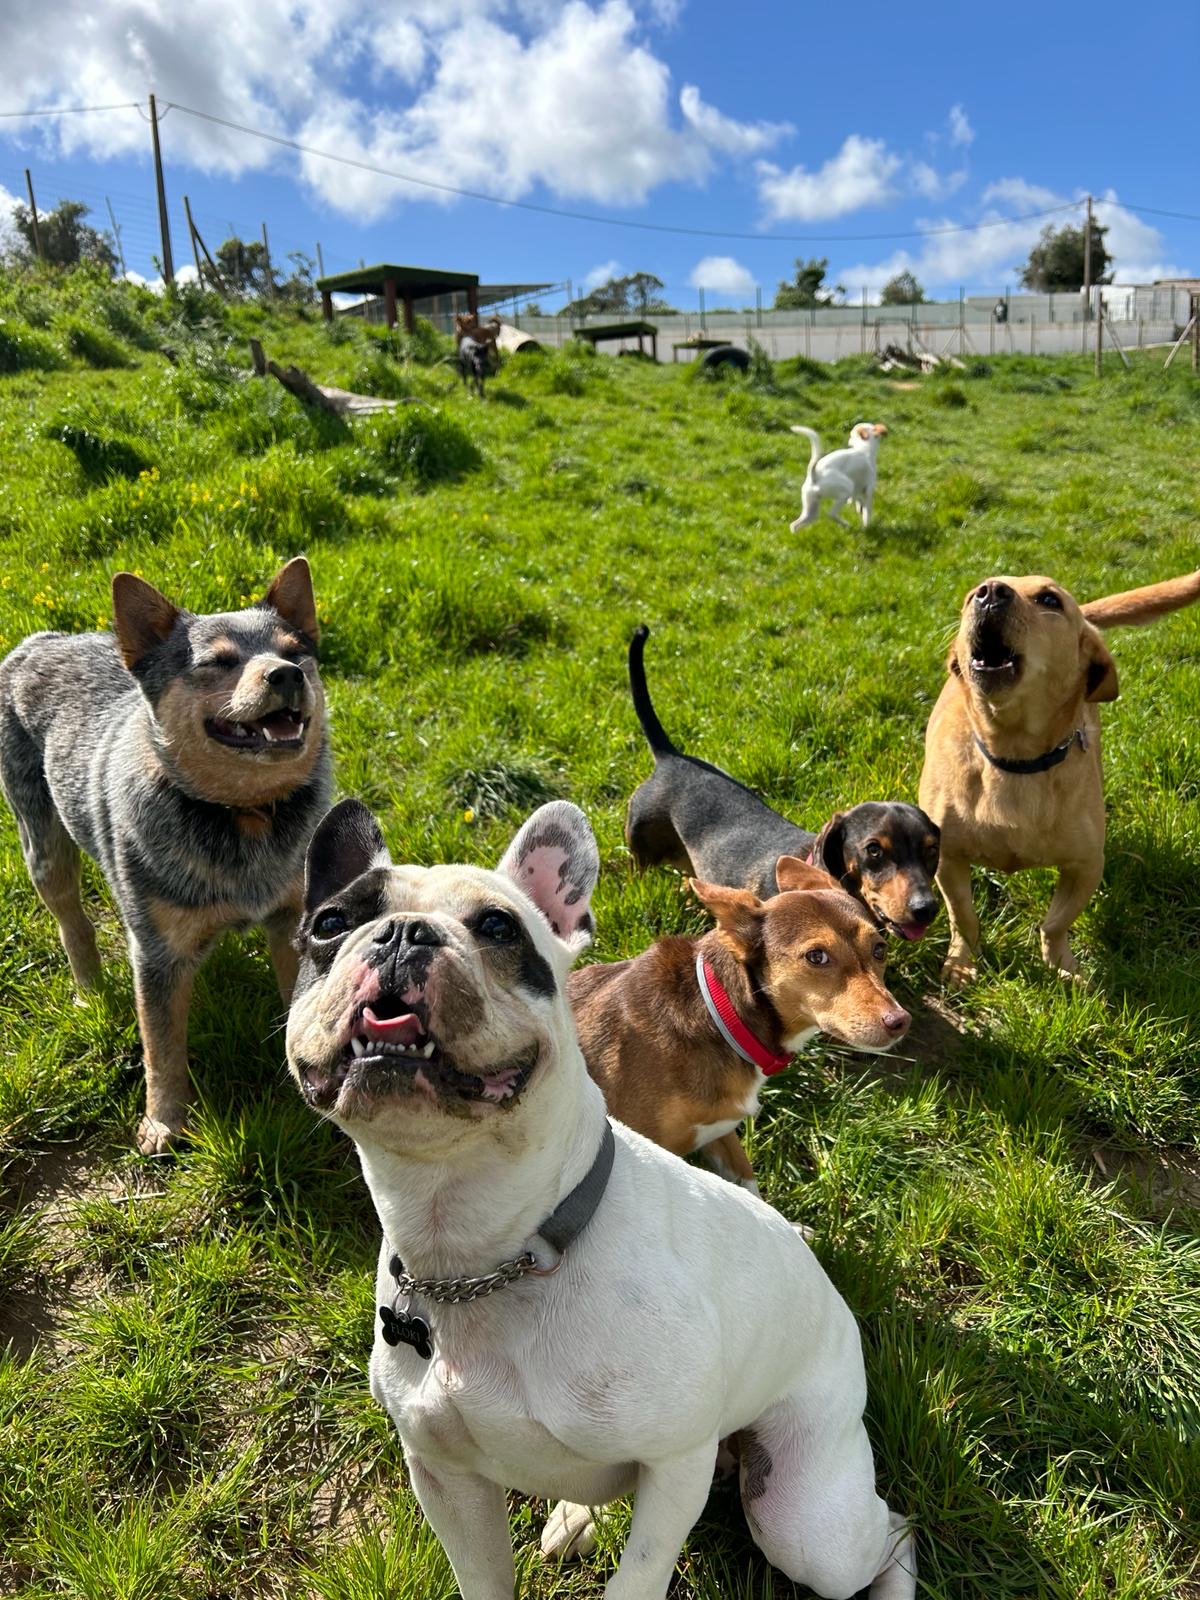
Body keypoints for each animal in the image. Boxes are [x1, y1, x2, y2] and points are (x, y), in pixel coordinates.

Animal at [0, 560, 334, 1152]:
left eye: (296, 653)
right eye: (218, 662)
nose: (286, 675)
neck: (243, 815)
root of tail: (41, 640)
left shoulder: (294, 919)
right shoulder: (156, 953)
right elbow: (161, 1047)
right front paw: (164, 1122)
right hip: (41, 845)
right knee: (73, 923)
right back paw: (89, 993)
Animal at [572, 864, 908, 1190]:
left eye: (880, 949)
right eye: (817, 956)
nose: (900, 1021)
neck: (722, 1019)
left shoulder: (721, 1133)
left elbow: (749, 1187)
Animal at [921, 569, 1200, 979]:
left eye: (1050, 600)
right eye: (972, 595)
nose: (989, 593)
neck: (1013, 755)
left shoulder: (1086, 866)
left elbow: (1055, 923)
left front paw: (1061, 967)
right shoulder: (948, 857)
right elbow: (964, 916)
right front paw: (961, 964)